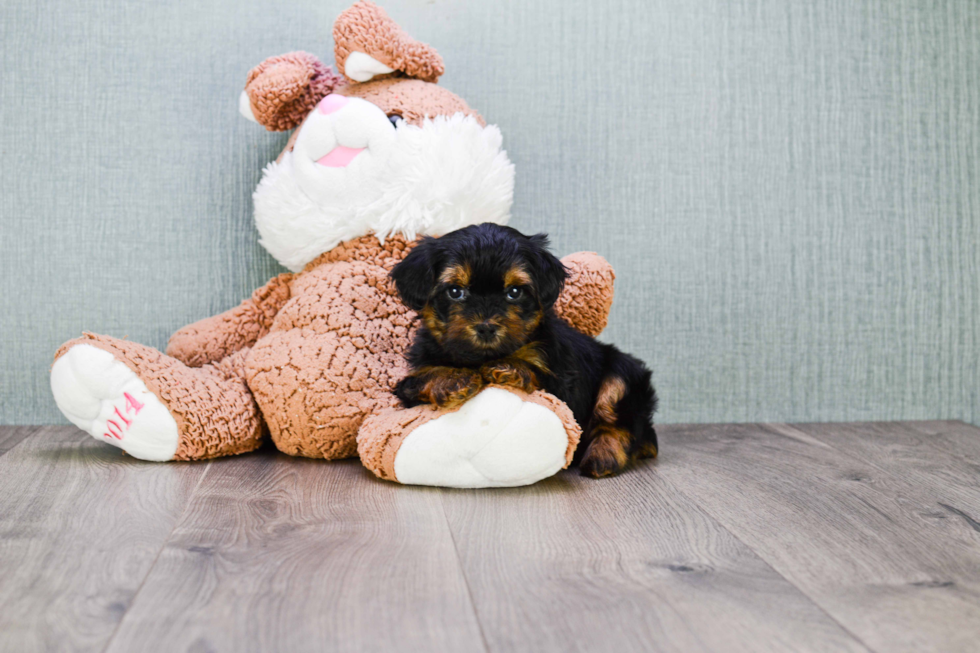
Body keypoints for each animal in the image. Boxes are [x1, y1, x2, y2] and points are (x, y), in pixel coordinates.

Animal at [390, 222, 660, 476]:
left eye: (514, 292)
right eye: (455, 291)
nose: (486, 327)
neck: (479, 358)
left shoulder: (562, 383)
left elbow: (539, 372)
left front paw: (510, 366)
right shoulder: (415, 377)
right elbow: (419, 379)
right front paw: (452, 378)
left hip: (623, 373)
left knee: (617, 419)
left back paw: (602, 456)